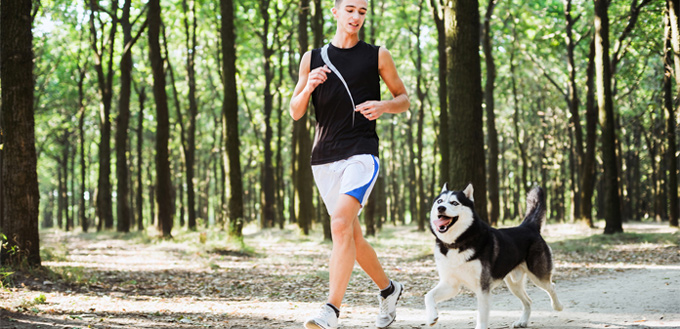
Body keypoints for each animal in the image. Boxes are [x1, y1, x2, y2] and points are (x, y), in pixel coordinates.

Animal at [424, 183, 564, 328]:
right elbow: (428, 296)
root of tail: (528, 226)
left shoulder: (483, 287)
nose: (441, 208)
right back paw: (523, 321)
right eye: (440, 201)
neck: (457, 243)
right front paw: (432, 317)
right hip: (513, 284)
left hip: (538, 276)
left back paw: (558, 306)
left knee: (551, 286)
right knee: (528, 301)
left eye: (454, 202)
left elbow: (482, 315)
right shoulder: (451, 284)